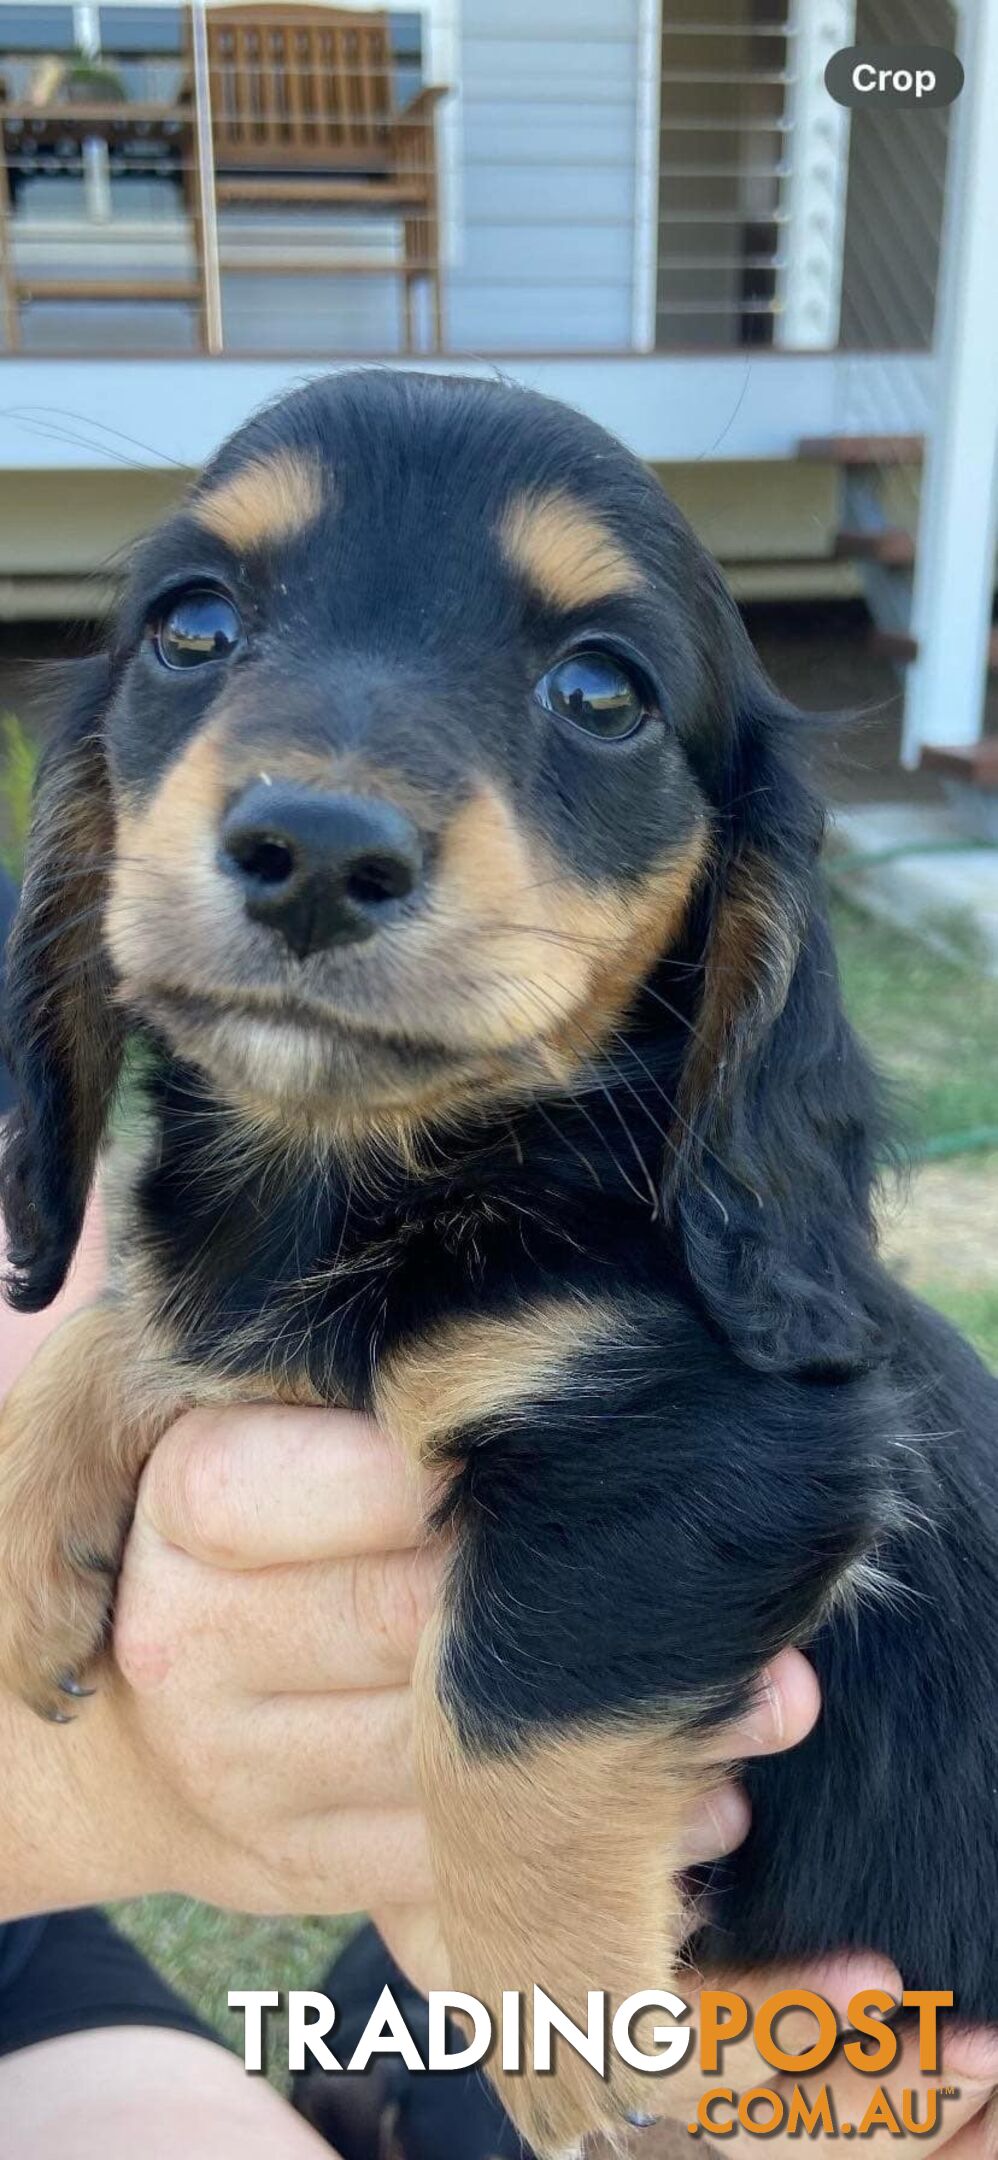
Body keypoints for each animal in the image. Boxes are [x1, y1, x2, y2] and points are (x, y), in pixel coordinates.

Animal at [1, 367, 998, 2142]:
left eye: (600, 690)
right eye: (193, 625)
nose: (316, 854)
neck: (371, 1179)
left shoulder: (715, 1451)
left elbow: (503, 1702)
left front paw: (573, 2044)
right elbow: (152, 1300)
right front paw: (34, 1531)